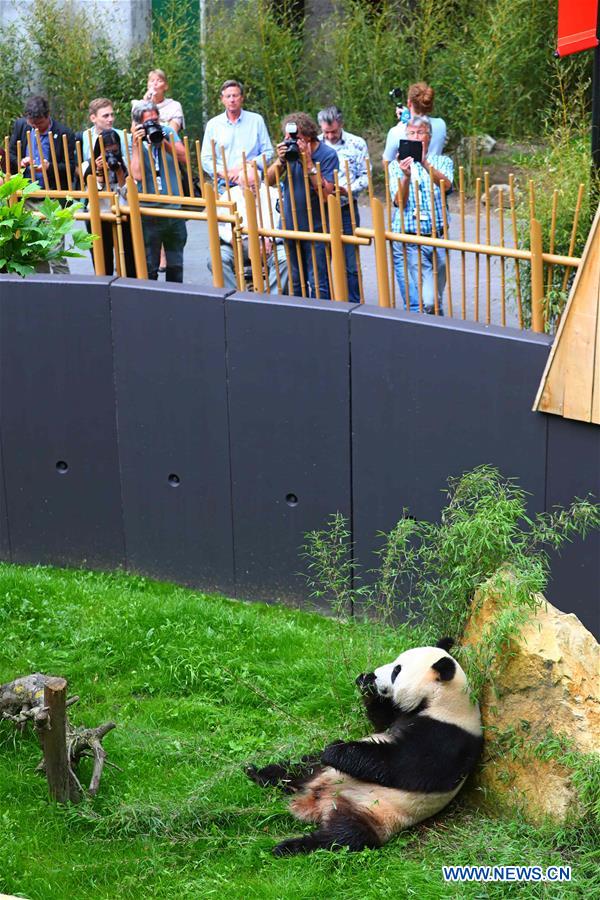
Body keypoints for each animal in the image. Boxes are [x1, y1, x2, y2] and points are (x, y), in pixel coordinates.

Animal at [247, 638, 483, 856]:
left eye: (396, 671)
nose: (376, 674)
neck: (444, 702)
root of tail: (320, 800)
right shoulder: (404, 715)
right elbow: (382, 721)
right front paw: (366, 683)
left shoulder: (445, 739)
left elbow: (398, 764)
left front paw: (335, 748)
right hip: (323, 772)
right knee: (298, 768)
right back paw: (257, 773)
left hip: (375, 813)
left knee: (343, 836)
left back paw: (290, 846)